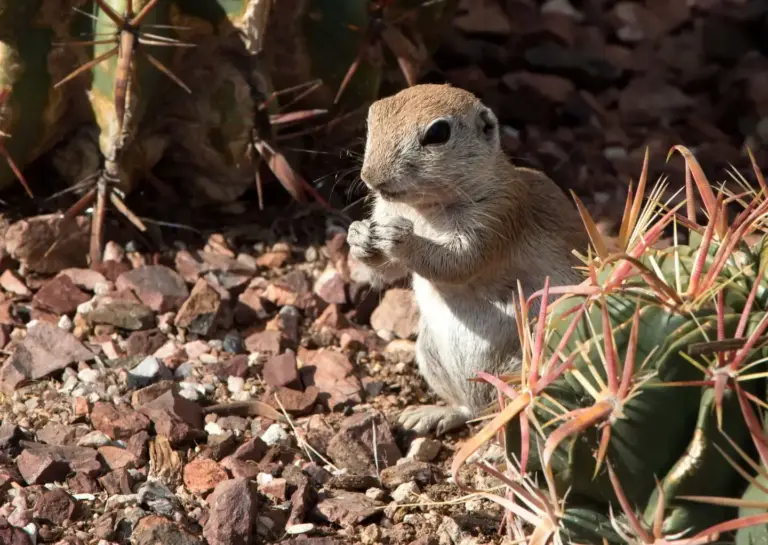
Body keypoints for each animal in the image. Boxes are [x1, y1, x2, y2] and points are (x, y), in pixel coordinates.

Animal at [347, 83, 589, 436]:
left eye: (438, 133)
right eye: (372, 118)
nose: (371, 178)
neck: (424, 208)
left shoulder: (498, 215)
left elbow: (460, 262)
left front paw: (400, 239)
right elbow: (387, 268)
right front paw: (359, 236)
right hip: (431, 354)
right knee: (469, 410)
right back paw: (431, 415)